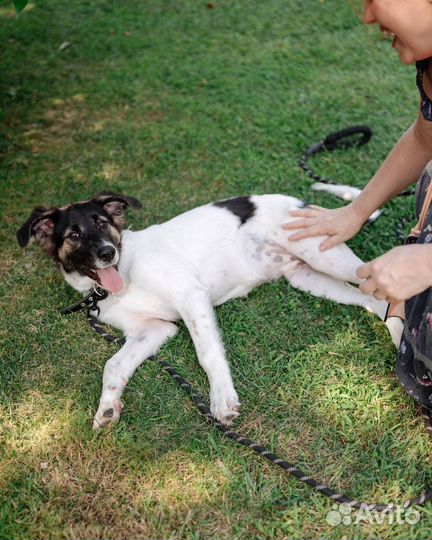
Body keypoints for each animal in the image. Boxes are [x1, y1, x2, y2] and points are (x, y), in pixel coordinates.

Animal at [17, 192, 392, 428]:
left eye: (103, 222)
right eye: (74, 235)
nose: (108, 252)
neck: (121, 278)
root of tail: (302, 202)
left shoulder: (191, 296)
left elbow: (207, 353)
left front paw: (222, 399)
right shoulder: (152, 329)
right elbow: (114, 364)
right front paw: (108, 407)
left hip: (325, 257)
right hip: (306, 278)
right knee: (375, 300)